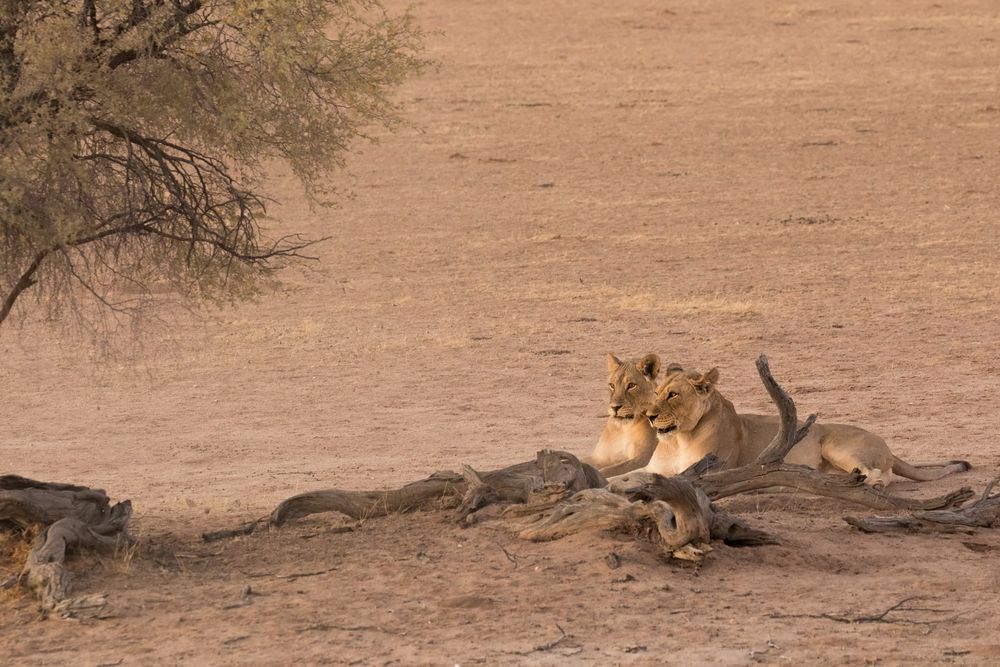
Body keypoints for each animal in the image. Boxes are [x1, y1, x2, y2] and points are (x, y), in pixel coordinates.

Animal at [640, 366, 968, 486]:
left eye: (673, 395)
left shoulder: (712, 468)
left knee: (882, 475)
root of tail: (886, 443)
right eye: (657, 392)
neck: (679, 439)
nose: (649, 415)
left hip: (836, 444)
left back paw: (868, 481)